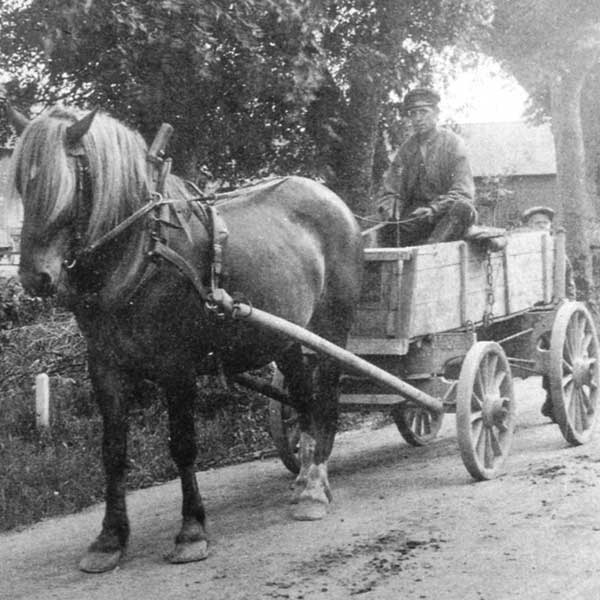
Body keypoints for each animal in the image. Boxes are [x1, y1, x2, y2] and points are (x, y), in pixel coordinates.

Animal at [8, 104, 360, 572]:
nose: (35, 278)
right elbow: (112, 451)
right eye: (21, 184)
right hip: (286, 337)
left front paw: (192, 530)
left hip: (331, 328)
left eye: (67, 182)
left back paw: (315, 484)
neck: (143, 251)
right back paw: (304, 480)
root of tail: (331, 198)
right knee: (303, 398)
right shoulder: (104, 366)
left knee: (325, 399)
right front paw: (109, 538)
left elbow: (183, 447)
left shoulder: (176, 366)